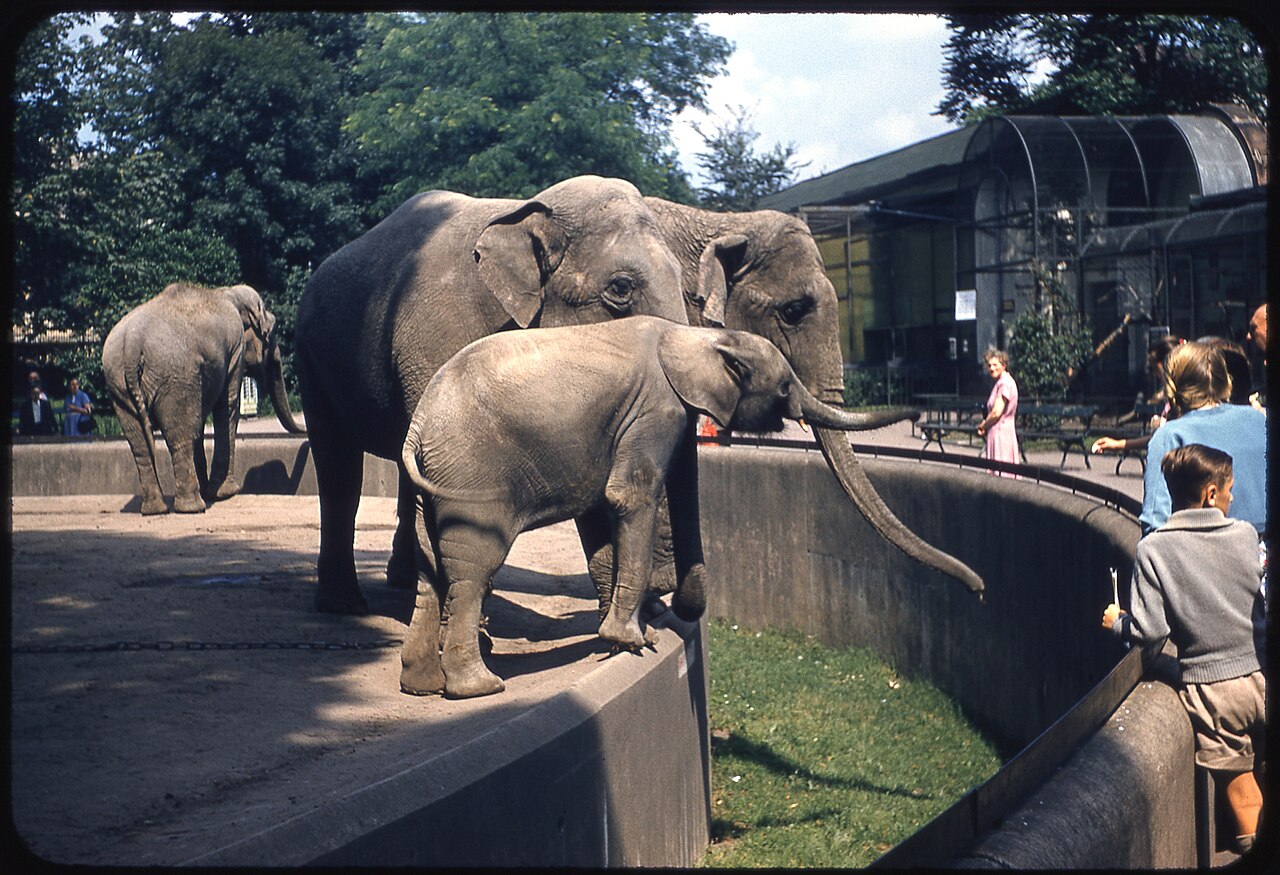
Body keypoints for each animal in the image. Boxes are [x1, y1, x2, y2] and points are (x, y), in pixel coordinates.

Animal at [102, 282, 304, 515]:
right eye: (271, 333)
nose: (304, 432)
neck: (228, 292)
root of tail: (132, 343)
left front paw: (211, 490)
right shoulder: (235, 348)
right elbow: (228, 405)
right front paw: (226, 493)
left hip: (119, 384)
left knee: (140, 444)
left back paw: (156, 509)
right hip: (174, 376)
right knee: (179, 436)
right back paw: (192, 507)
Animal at [294, 175, 688, 614]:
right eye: (621, 288)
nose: (666, 592)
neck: (528, 212)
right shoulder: (440, 339)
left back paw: (403, 582)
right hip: (311, 357)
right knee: (338, 465)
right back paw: (344, 605)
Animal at [398, 317, 919, 698]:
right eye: (787, 388)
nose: (916, 411)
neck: (691, 335)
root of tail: (418, 427)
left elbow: (619, 505)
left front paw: (637, 628)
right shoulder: (657, 410)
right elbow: (629, 496)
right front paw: (632, 640)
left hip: (432, 486)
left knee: (430, 570)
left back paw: (421, 686)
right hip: (471, 479)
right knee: (472, 573)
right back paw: (480, 689)